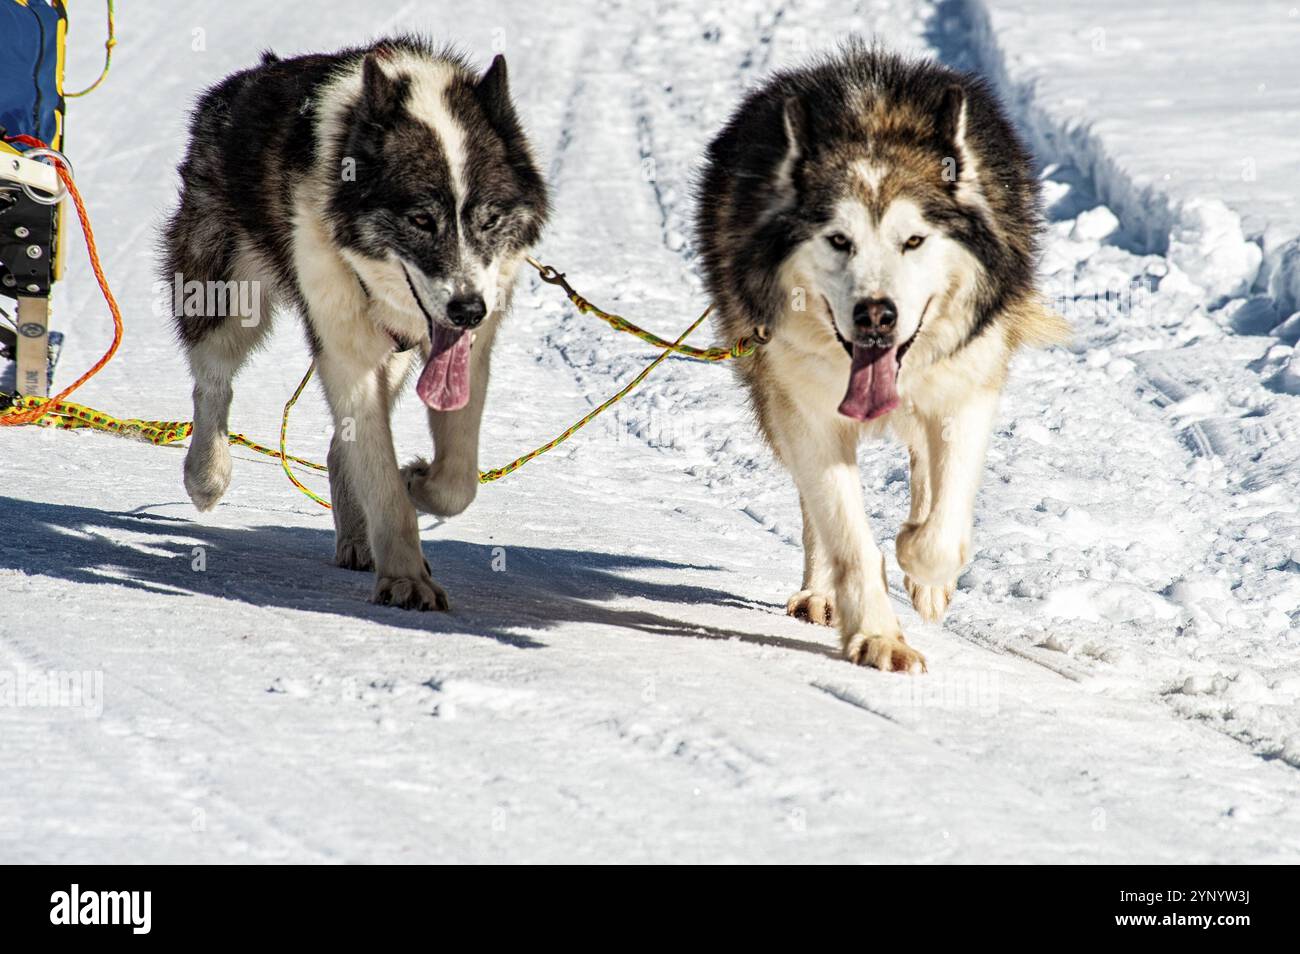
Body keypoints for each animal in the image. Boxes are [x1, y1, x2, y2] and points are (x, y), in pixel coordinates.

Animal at [163, 37, 548, 613]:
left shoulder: (464, 350)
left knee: (340, 444)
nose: (467, 310)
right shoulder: (345, 351)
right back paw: (207, 474)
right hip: (223, 295)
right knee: (213, 383)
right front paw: (406, 577)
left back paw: (358, 538)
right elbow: (381, 478)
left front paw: (419, 481)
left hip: (398, 356)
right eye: (420, 219)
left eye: (489, 220)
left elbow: (456, 480)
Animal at [696, 44, 1060, 670]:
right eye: (838, 240)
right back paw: (819, 593)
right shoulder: (807, 412)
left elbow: (941, 531)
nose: (875, 315)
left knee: (923, 465)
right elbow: (848, 537)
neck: (871, 123)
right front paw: (878, 636)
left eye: (913, 240)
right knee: (813, 511)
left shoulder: (969, 388)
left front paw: (920, 563)